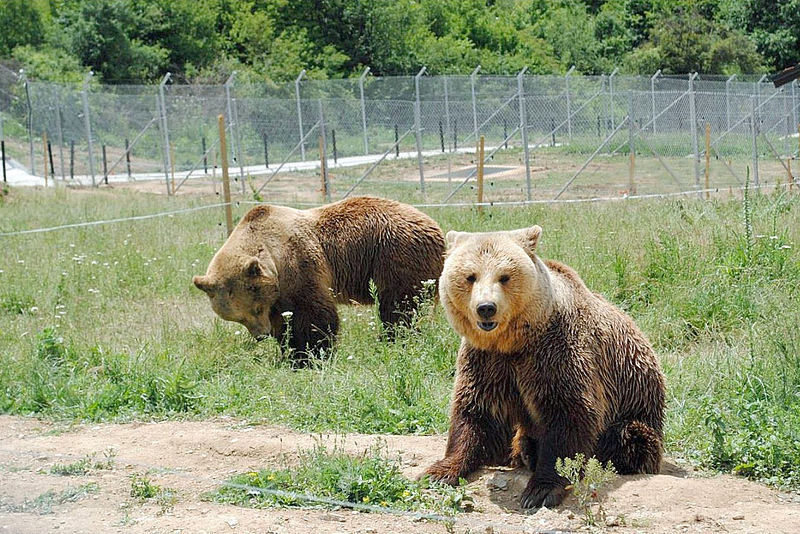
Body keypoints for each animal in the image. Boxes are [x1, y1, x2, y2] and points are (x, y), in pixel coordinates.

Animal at [192, 197, 444, 364]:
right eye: (238, 318)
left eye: (255, 308)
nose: (262, 334)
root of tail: (435, 227)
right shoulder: (278, 295)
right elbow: (286, 322)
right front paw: (289, 352)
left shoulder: (298, 264)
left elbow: (313, 315)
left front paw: (310, 355)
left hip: (395, 254)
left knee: (398, 307)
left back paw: (395, 339)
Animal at [422, 226, 664, 510]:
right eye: (470, 276)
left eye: (504, 276)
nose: (486, 308)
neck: (512, 342)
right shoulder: (486, 361)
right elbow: (476, 414)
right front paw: (439, 471)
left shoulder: (555, 353)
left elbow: (569, 415)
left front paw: (541, 489)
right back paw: (524, 450)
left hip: (637, 408)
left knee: (628, 437)